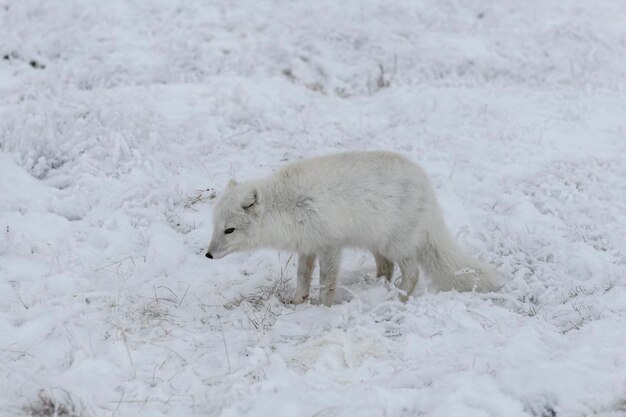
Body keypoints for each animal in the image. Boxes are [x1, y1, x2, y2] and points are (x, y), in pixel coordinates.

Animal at [206, 151, 498, 304]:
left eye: (229, 230)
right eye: (216, 228)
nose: (207, 255)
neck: (287, 206)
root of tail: (427, 186)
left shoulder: (330, 246)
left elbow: (326, 282)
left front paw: (323, 306)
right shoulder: (307, 247)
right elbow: (302, 277)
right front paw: (298, 300)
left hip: (396, 244)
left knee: (412, 272)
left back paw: (398, 297)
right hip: (377, 244)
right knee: (386, 267)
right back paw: (376, 287)